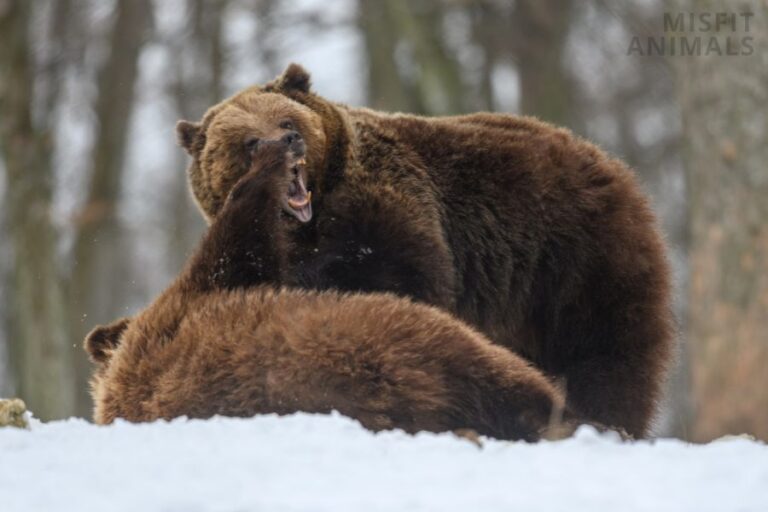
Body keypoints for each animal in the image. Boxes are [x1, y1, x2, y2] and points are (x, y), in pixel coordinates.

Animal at [171, 64, 674, 438]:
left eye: (288, 120)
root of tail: (610, 163)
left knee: (604, 350)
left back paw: (603, 420)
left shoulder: (386, 213)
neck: (309, 224)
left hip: (574, 257)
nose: (290, 142)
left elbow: (401, 281)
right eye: (248, 141)